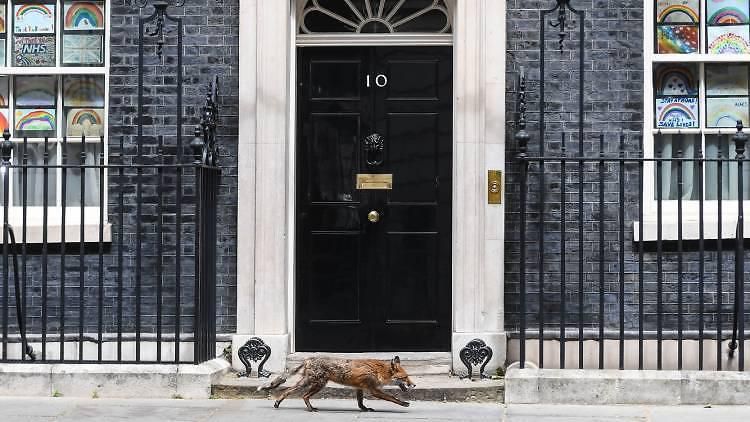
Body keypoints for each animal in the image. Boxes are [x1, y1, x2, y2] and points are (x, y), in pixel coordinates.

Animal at [258, 355, 416, 412]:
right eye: (405, 377)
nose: (414, 385)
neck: (378, 371)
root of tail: (309, 358)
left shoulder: (360, 388)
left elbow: (360, 403)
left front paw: (365, 410)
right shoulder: (372, 389)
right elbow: (391, 398)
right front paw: (404, 403)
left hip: (309, 382)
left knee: (288, 391)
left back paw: (278, 403)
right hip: (318, 384)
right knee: (303, 395)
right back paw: (310, 409)